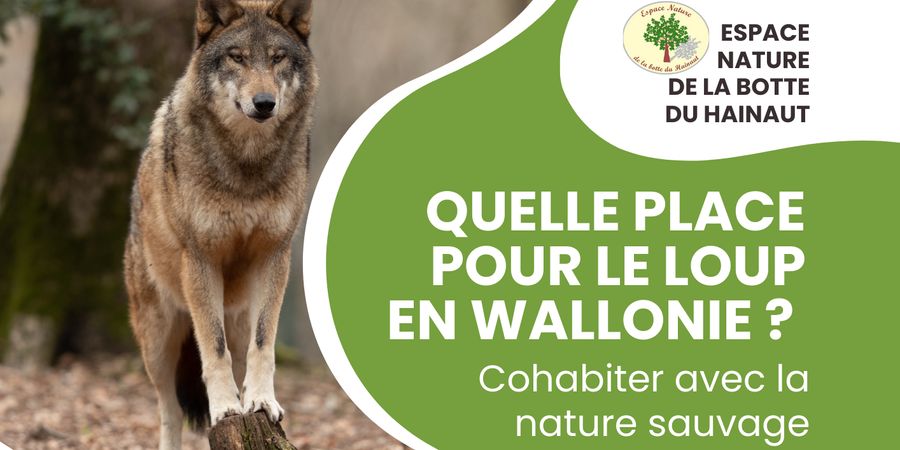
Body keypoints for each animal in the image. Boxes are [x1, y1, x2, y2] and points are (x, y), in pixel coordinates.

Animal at [124, 0, 317, 448]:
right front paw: (226, 408)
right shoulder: (201, 259)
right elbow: (213, 349)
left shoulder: (274, 256)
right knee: (170, 411)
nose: (264, 102)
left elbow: (263, 346)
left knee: (242, 351)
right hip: (158, 342)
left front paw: (261, 402)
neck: (246, 165)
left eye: (277, 58)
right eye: (237, 57)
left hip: (237, 316)